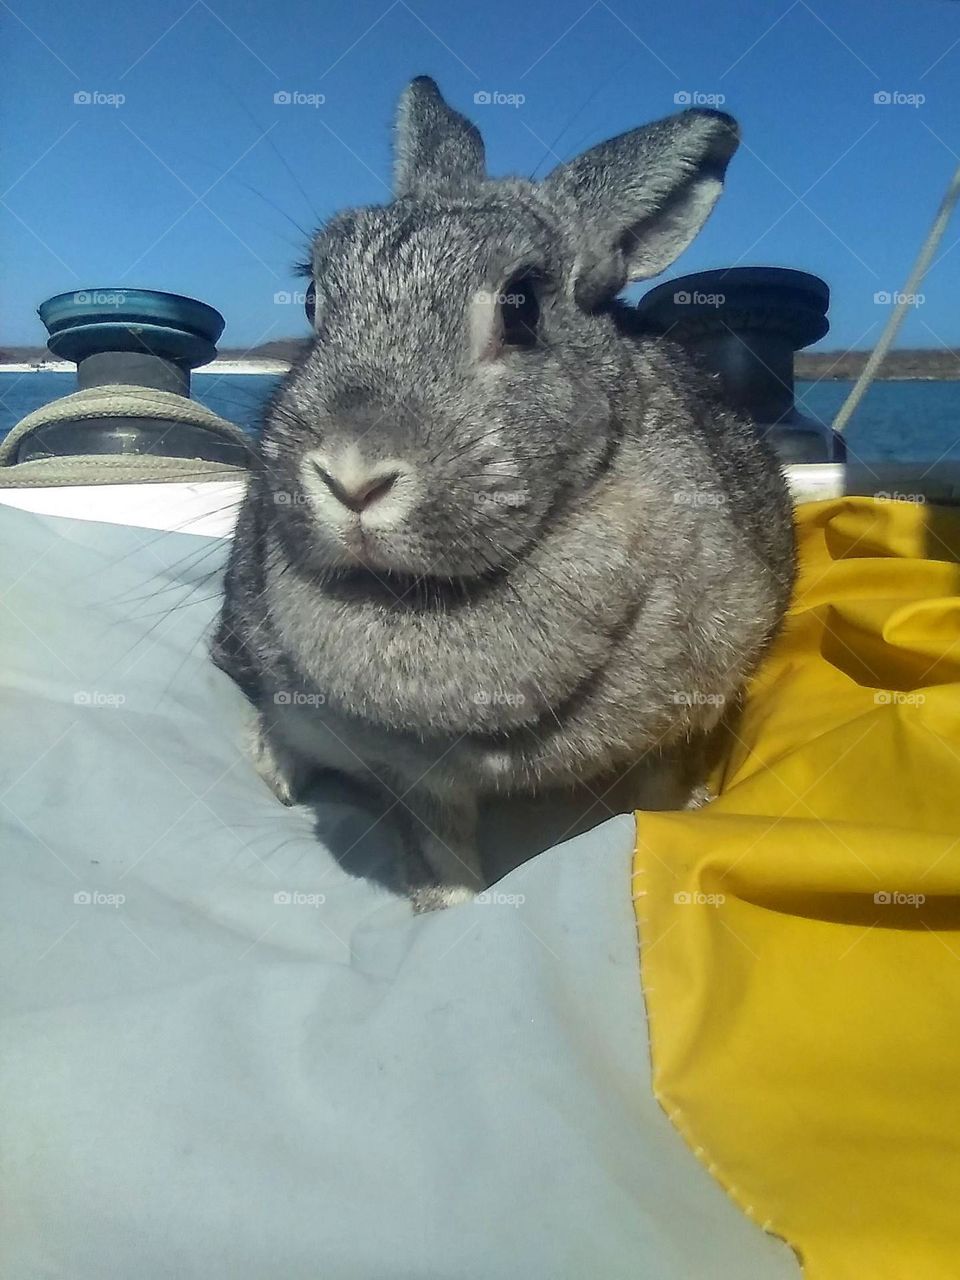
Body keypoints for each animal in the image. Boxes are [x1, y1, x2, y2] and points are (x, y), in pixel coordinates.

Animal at [212, 75, 796, 910]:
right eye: (315, 298)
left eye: (522, 305)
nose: (351, 476)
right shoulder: (408, 775)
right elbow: (439, 841)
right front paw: (448, 907)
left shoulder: (689, 709)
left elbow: (659, 789)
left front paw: (691, 811)